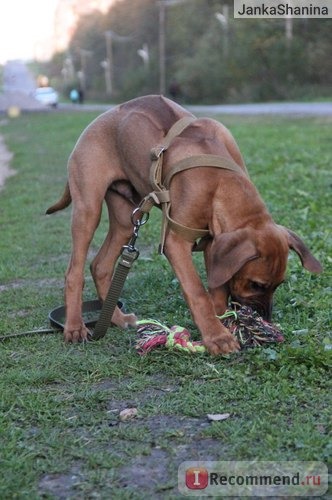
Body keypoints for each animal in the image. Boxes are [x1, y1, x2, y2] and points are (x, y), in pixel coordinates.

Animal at [46, 94, 322, 356]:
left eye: (278, 285)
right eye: (257, 284)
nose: (265, 320)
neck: (218, 179)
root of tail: (95, 122)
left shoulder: (214, 242)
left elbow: (217, 288)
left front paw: (223, 322)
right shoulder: (176, 241)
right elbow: (198, 291)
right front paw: (217, 337)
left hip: (126, 218)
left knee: (100, 265)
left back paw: (117, 319)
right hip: (88, 209)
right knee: (74, 271)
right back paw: (74, 327)